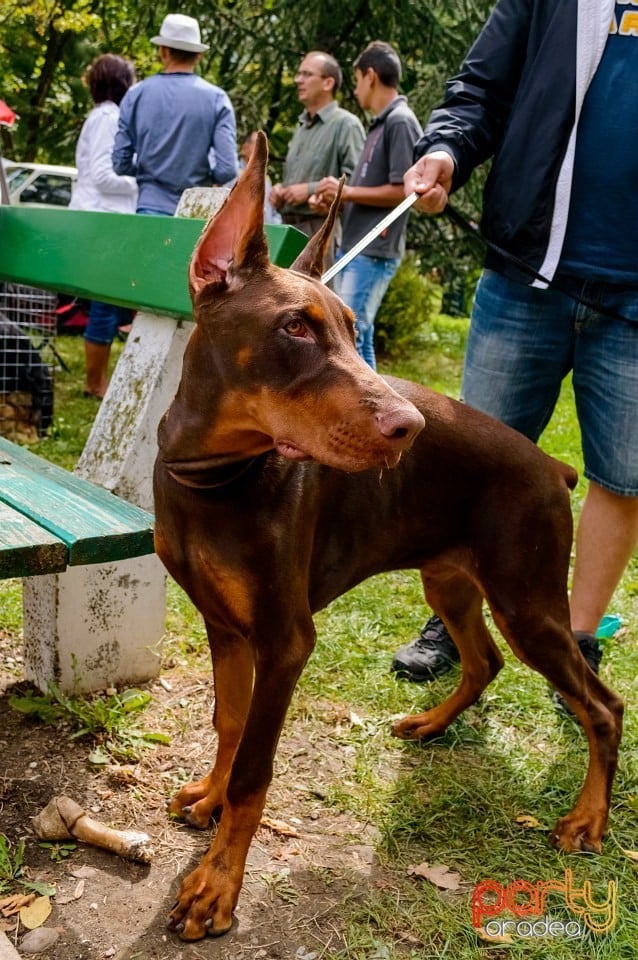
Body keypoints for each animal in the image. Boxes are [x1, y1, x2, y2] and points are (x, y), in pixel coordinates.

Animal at [154, 131, 624, 940]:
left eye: (352, 328)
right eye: (296, 326)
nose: (410, 428)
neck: (212, 477)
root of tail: (554, 466)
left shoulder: (285, 638)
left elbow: (255, 768)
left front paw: (216, 886)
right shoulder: (226, 625)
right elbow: (228, 722)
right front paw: (208, 798)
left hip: (528, 597)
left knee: (602, 704)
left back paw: (587, 818)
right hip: (451, 579)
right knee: (485, 661)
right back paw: (432, 724)